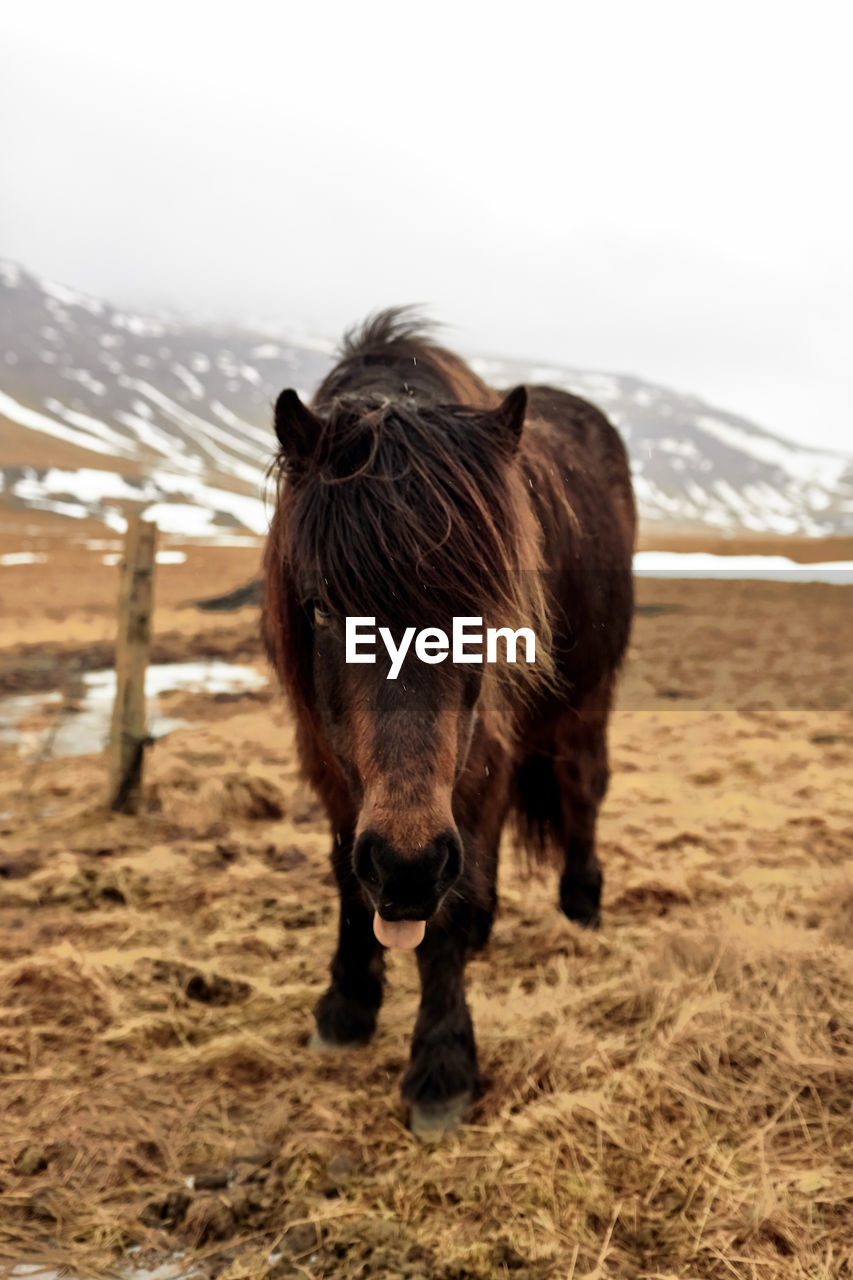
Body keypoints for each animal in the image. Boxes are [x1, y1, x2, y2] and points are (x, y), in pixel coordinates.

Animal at [258, 312, 630, 1141]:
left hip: (586, 705)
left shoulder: (476, 760)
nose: (404, 872)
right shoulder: (329, 763)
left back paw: (582, 908)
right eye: (321, 607)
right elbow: (345, 875)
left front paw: (440, 1069)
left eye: (477, 613)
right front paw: (346, 1007)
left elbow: (452, 909)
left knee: (583, 790)